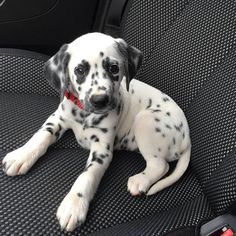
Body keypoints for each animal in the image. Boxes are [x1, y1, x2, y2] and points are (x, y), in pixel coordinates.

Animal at [1, 32, 190, 231]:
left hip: (145, 120)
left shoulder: (102, 150)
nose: (100, 100)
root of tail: (188, 137)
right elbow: (40, 137)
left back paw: (140, 180)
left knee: (160, 165)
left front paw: (74, 205)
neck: (84, 114)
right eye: (79, 70)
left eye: (114, 68)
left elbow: (87, 175)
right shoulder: (57, 120)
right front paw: (21, 156)